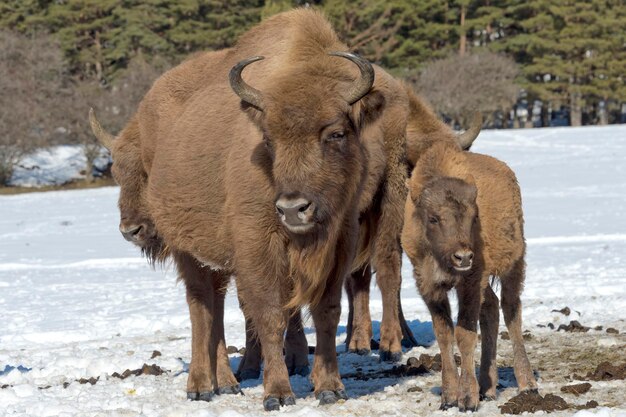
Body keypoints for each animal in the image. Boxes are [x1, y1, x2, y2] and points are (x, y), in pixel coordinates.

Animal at [400, 141, 536, 408]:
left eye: (474, 216)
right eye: (433, 218)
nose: (463, 257)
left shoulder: (471, 282)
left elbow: (465, 333)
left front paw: (467, 399)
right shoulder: (428, 285)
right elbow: (444, 335)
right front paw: (449, 397)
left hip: (514, 263)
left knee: (511, 311)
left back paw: (528, 385)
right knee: (492, 307)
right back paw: (489, 387)